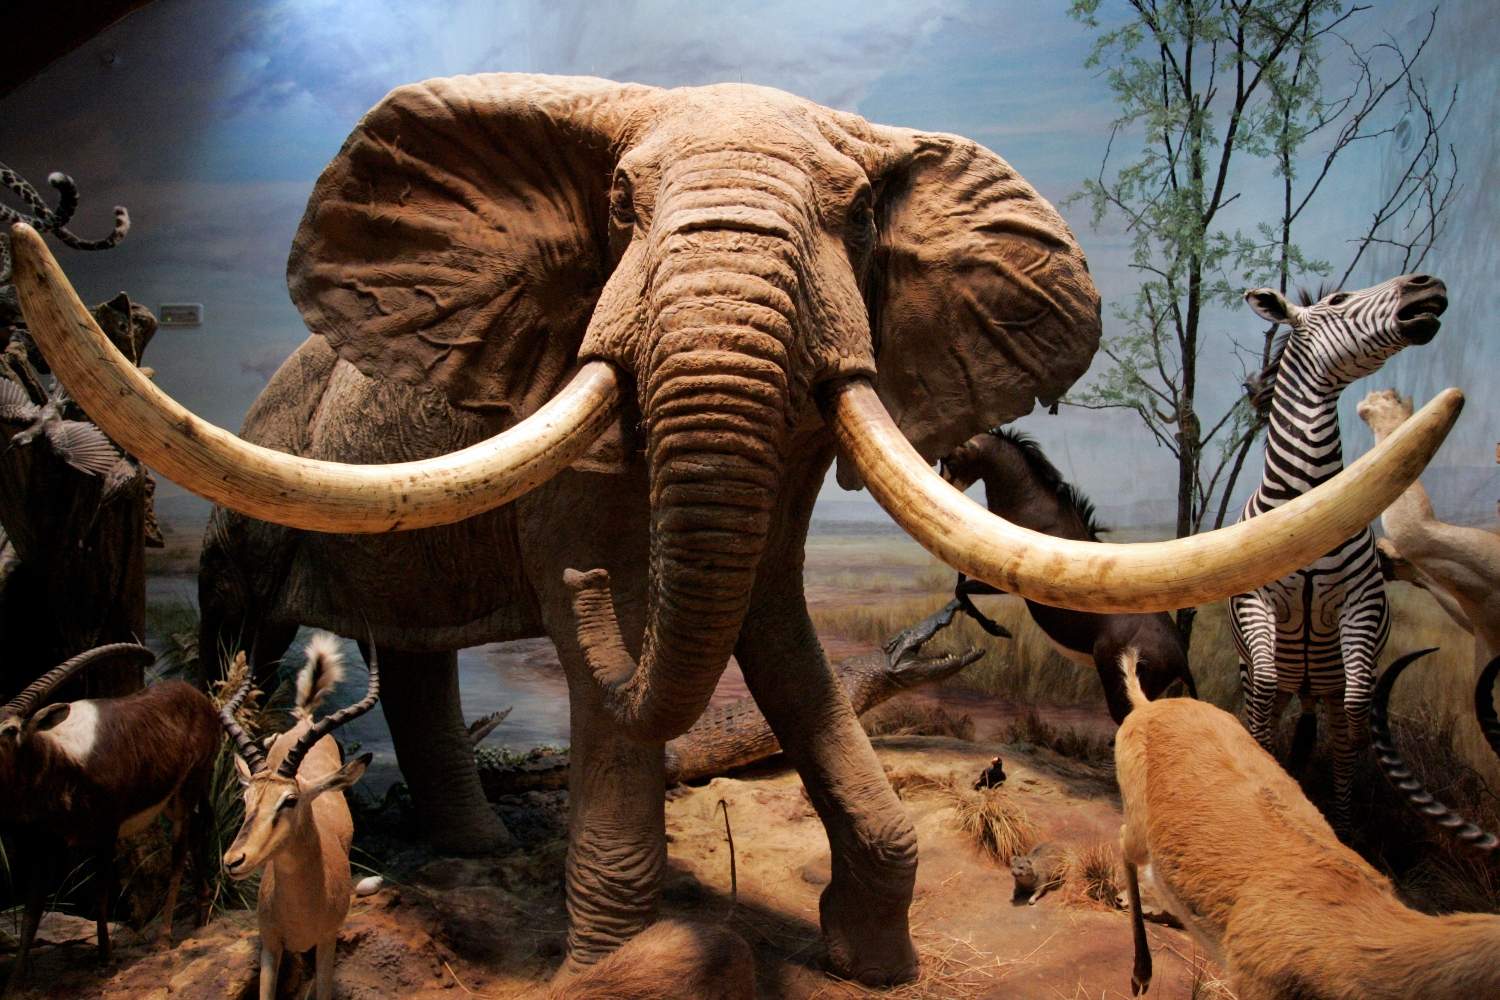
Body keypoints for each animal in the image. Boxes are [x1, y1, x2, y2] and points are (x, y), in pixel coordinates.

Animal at [8, 75, 1461, 984]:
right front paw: (623, 965)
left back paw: (482, 853)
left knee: (415, 654)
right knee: (246, 619)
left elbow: (776, 628)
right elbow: (632, 645)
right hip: (258, 478)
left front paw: (869, 958)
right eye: (620, 214)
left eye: (859, 219)